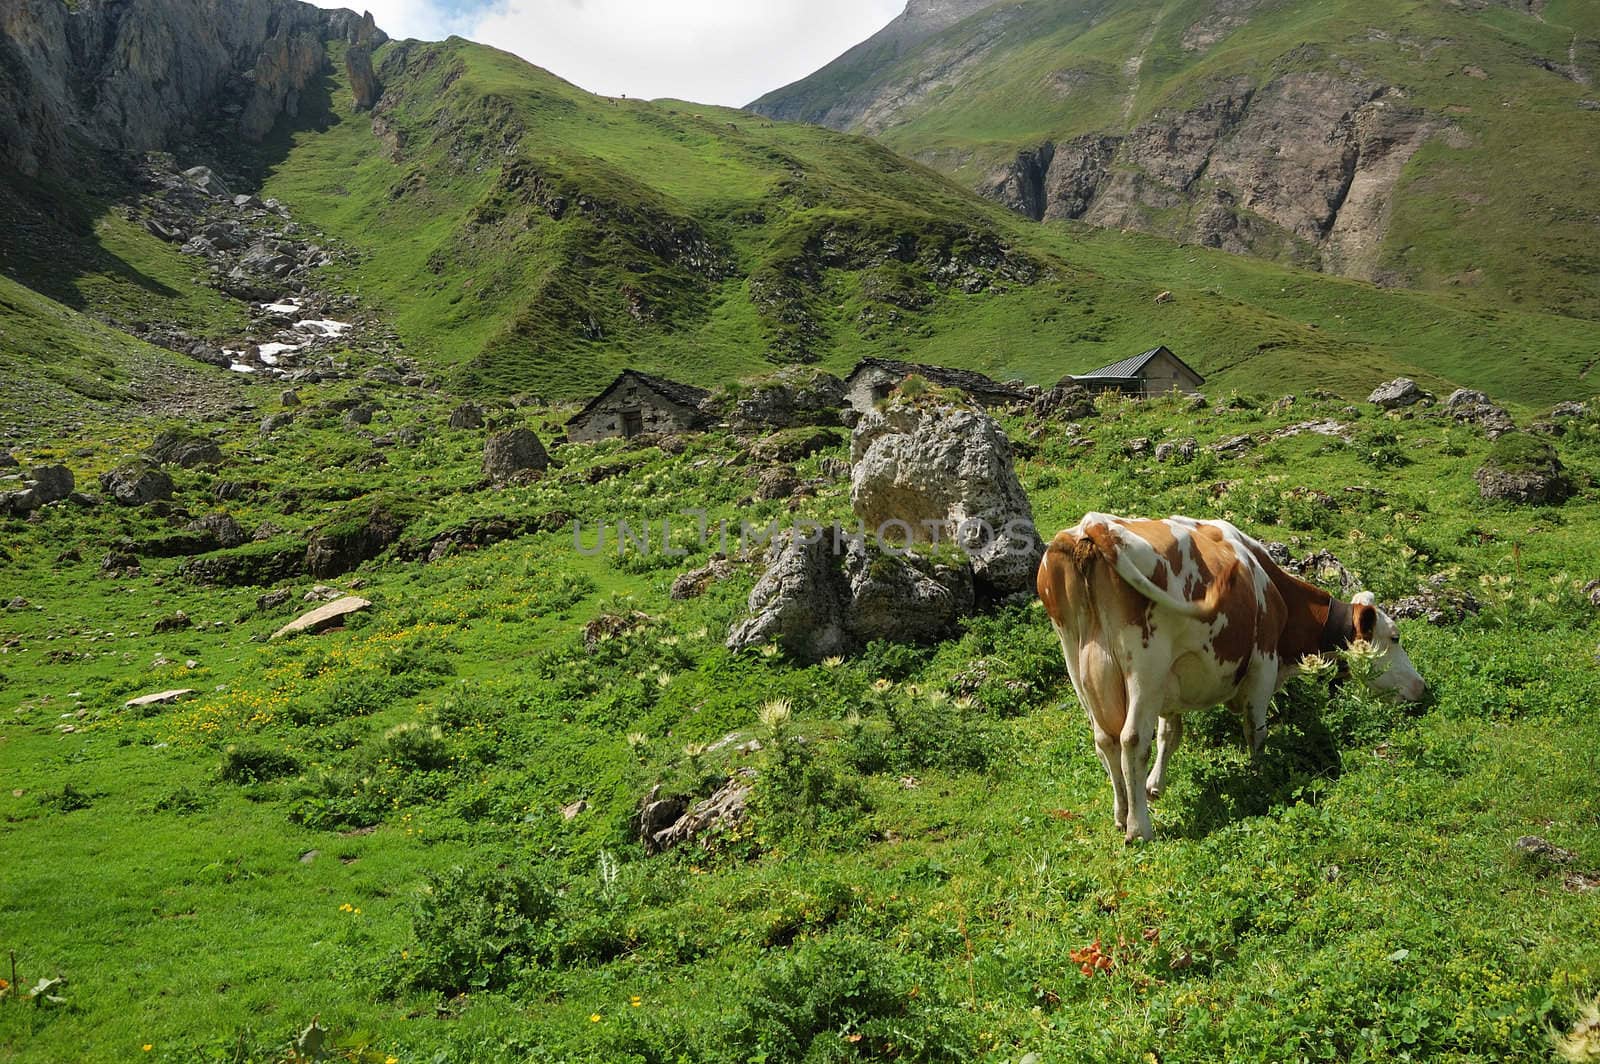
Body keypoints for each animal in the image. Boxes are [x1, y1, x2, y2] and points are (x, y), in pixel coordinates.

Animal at [1036, 512, 1427, 844]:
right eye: (1395, 637)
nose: (1422, 687)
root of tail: (1093, 525)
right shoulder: (1263, 666)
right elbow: (1256, 730)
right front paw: (1258, 778)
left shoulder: (1170, 684)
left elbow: (1169, 735)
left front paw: (1154, 786)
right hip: (1145, 665)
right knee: (1132, 739)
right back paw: (1139, 828)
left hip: (1079, 663)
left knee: (1105, 739)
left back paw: (1120, 814)